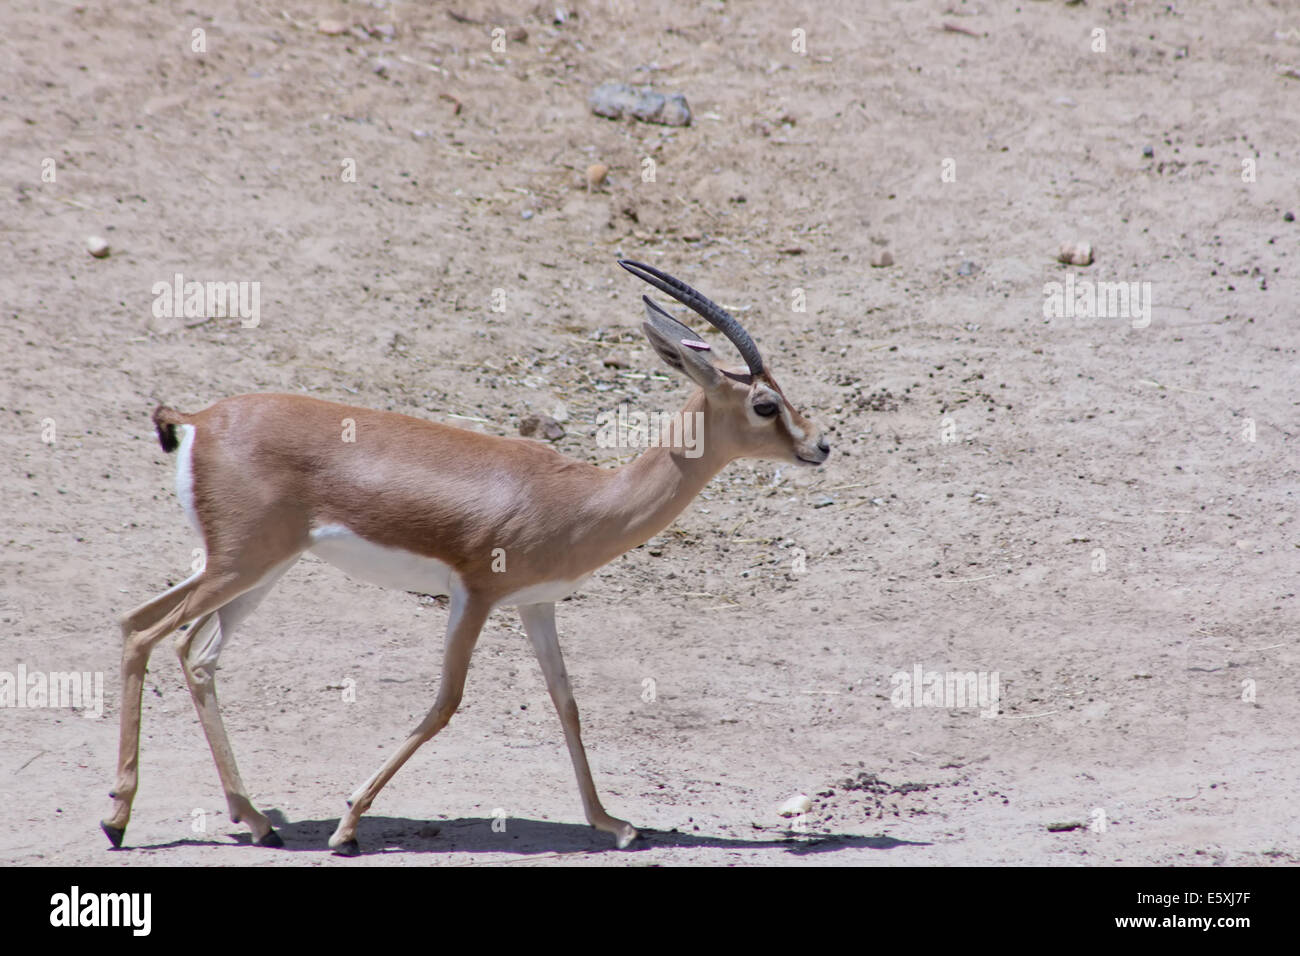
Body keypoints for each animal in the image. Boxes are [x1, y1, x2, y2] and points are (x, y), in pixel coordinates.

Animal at [102, 260, 831, 855]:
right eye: (765, 403)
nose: (819, 446)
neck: (578, 498)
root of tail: (199, 420)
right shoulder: (474, 596)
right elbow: (446, 702)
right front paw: (347, 826)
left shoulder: (536, 606)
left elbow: (566, 701)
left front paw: (616, 824)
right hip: (241, 566)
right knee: (146, 632)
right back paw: (118, 821)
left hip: (254, 569)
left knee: (184, 646)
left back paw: (255, 821)